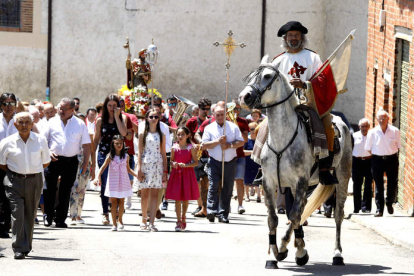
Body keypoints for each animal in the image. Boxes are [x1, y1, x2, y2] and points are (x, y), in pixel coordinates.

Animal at [239, 55, 352, 266]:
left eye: (267, 76)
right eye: (250, 76)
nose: (244, 97)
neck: (282, 138)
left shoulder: (301, 181)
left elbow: (293, 214)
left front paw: (294, 250)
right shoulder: (270, 182)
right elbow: (274, 217)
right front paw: (275, 253)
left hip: (342, 178)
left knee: (337, 215)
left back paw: (337, 253)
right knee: (301, 210)